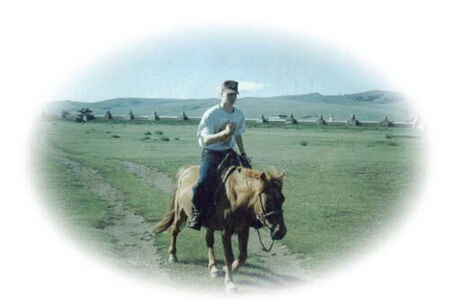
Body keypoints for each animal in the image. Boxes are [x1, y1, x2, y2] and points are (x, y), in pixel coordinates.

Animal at [151, 165, 284, 290]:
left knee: (209, 240)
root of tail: (186, 170)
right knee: (175, 231)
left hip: (210, 224)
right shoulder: (226, 232)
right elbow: (228, 256)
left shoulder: (243, 230)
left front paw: (226, 270)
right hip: (180, 212)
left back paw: (213, 267)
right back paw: (173, 255)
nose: (280, 231)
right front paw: (229, 282)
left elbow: (242, 256)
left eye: (283, 199)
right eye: (268, 200)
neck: (236, 198)